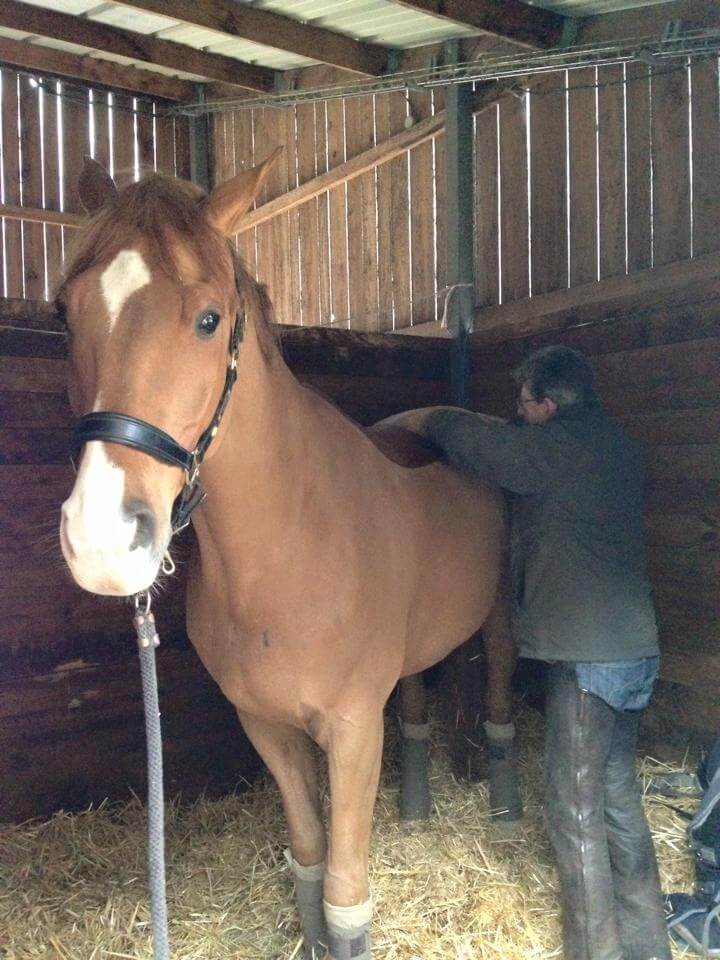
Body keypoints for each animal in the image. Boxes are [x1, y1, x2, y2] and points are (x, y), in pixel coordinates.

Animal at [57, 152, 520, 960]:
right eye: (67, 312)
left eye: (209, 319)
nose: (102, 540)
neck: (289, 550)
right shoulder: (266, 727)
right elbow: (307, 859)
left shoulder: (353, 729)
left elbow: (345, 893)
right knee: (418, 705)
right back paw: (417, 808)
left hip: (495, 623)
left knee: (496, 705)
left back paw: (498, 812)